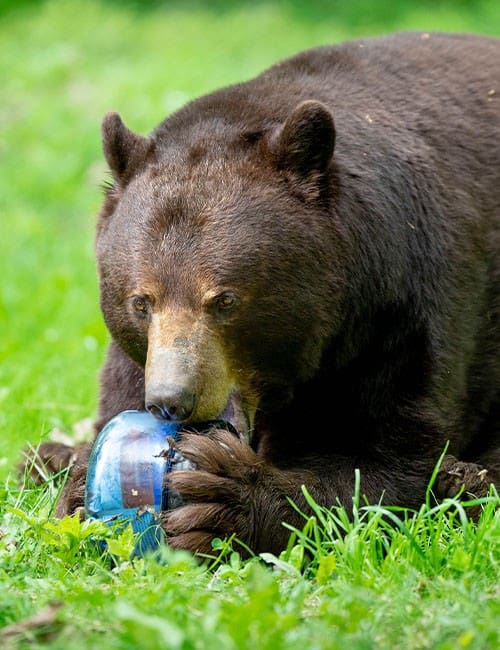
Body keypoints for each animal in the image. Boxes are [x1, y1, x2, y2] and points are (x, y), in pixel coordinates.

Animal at [27, 31, 500, 557]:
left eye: (225, 300)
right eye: (141, 302)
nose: (172, 401)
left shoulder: (400, 312)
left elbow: (387, 460)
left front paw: (222, 500)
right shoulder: (135, 356)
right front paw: (73, 478)